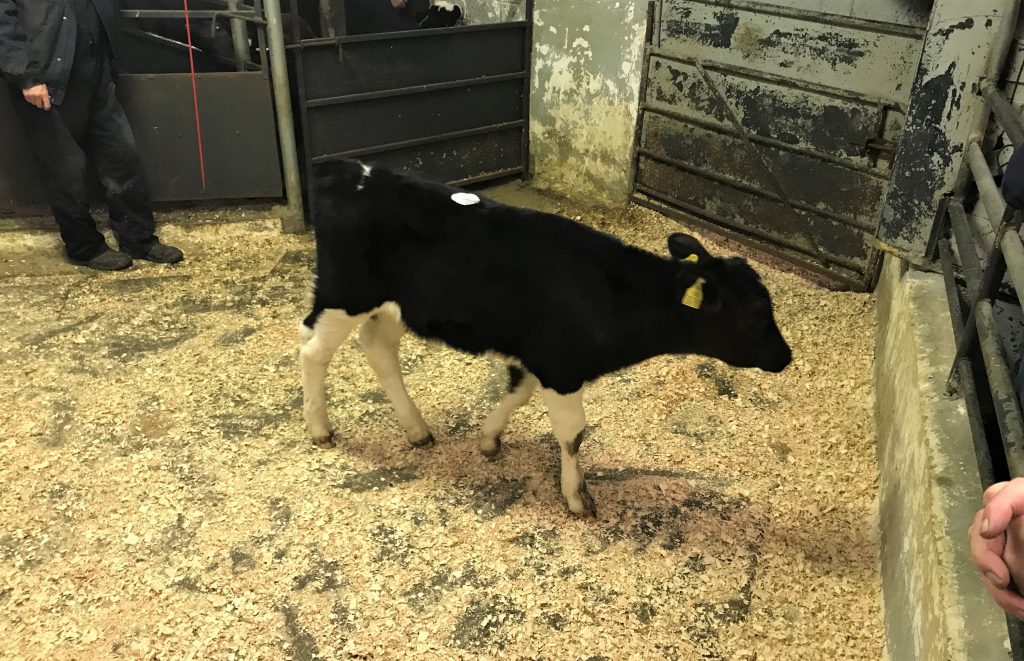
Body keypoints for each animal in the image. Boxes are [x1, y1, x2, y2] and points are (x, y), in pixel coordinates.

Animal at [300, 160, 792, 518]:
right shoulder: (562, 366)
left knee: (378, 348)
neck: (610, 293)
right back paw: (320, 428)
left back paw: (417, 430)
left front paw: (489, 440)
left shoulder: (541, 357)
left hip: (394, 306)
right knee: (313, 351)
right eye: (755, 315)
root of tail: (346, 169)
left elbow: (517, 395)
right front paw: (577, 497)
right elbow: (573, 433)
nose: (785, 356)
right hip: (344, 294)